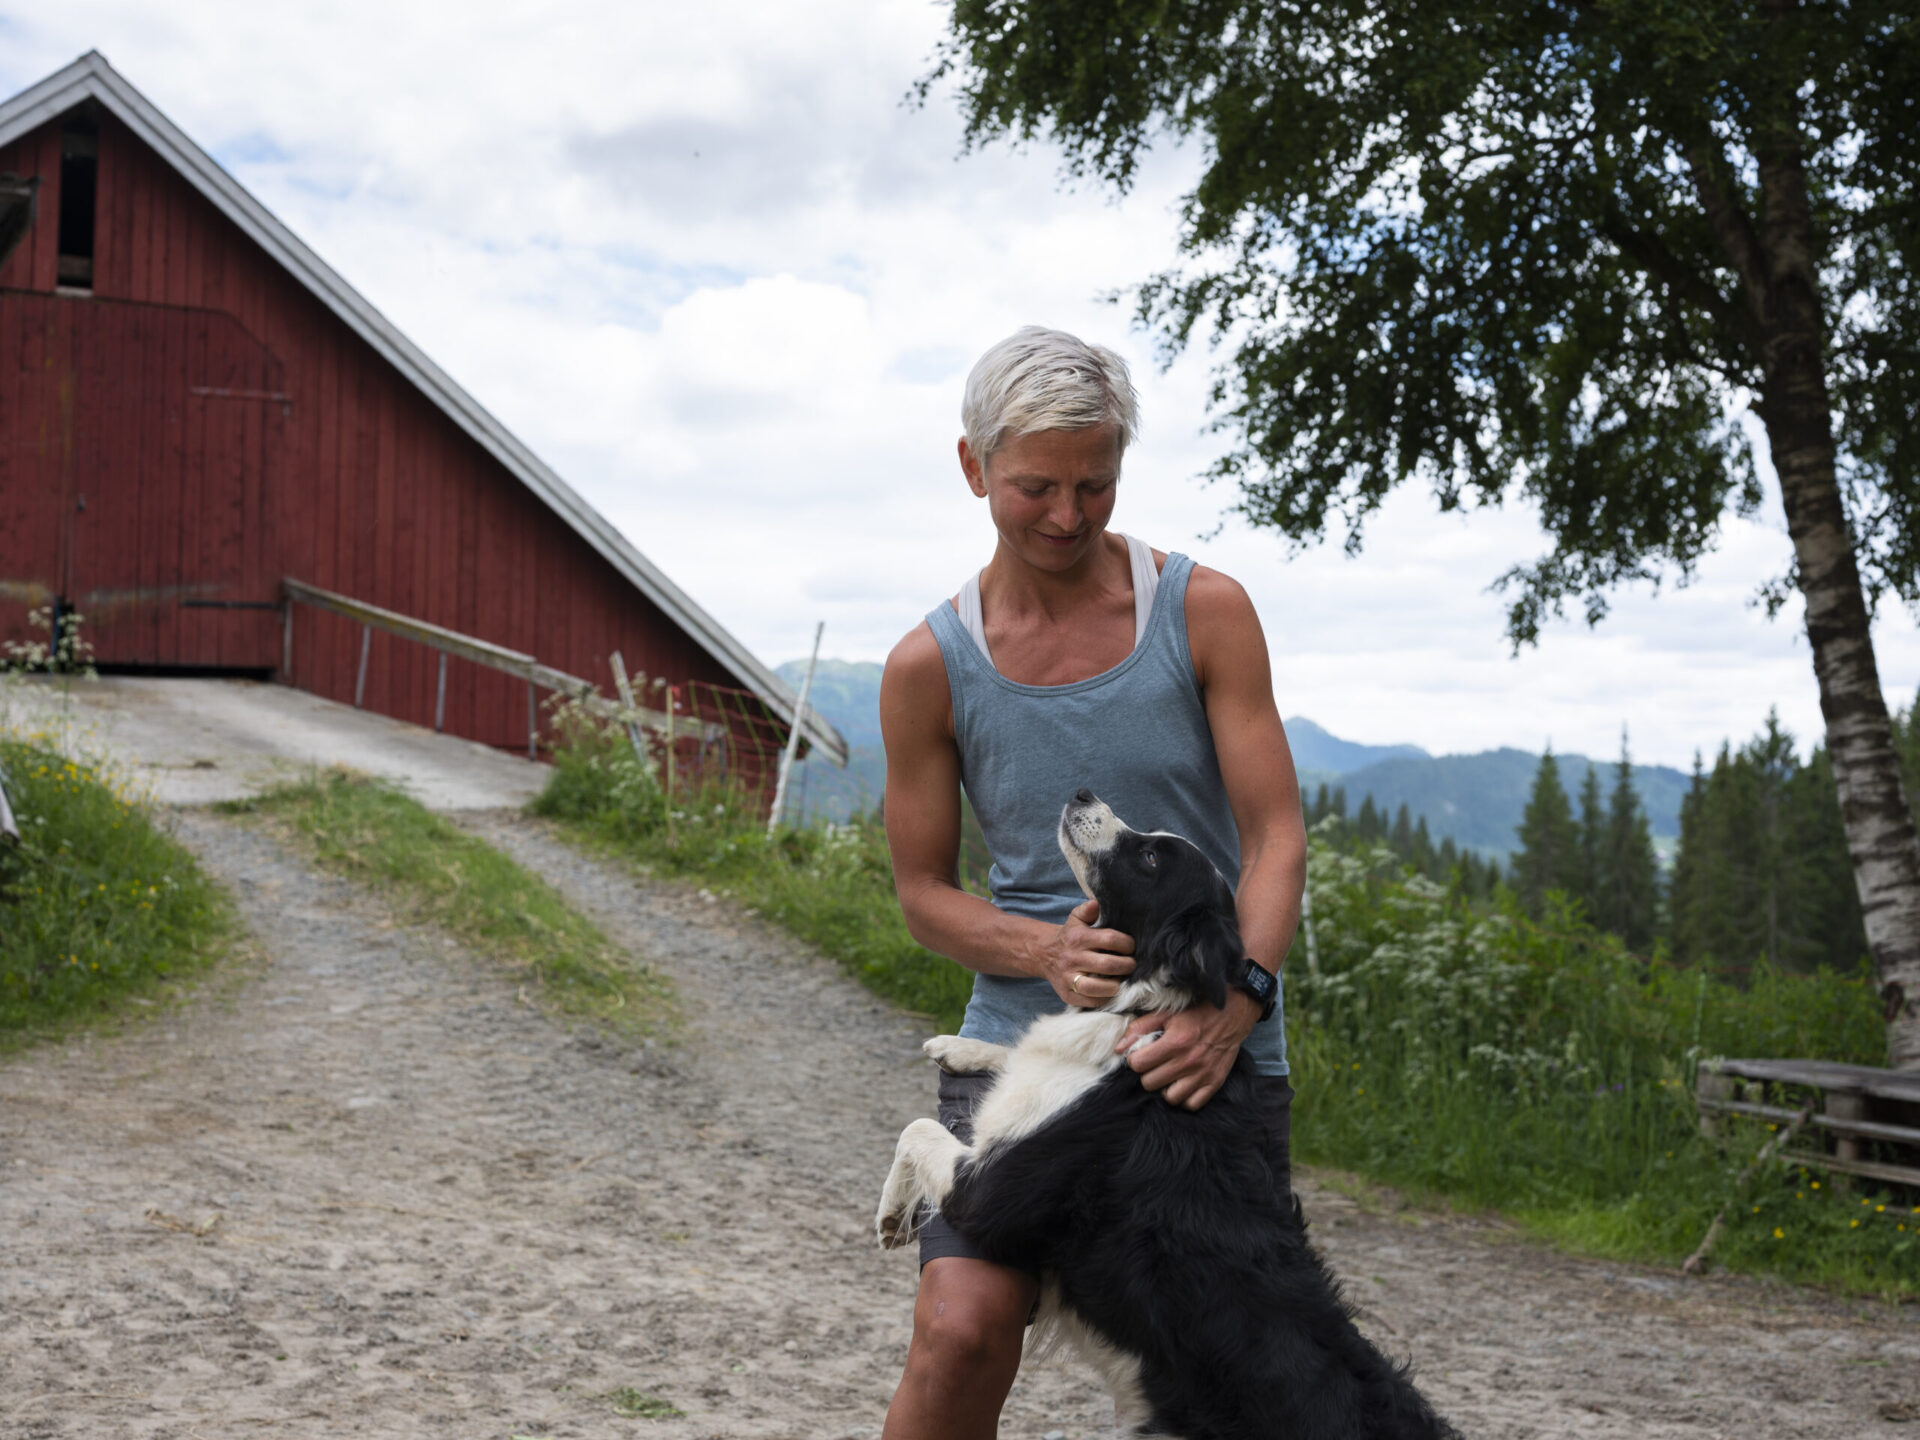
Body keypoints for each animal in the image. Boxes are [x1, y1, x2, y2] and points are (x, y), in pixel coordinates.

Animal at [875, 794, 1451, 1436]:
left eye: (1150, 858)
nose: (1083, 793)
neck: (1140, 998)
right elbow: (1014, 1055)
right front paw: (960, 1046)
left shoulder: (986, 1193)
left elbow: (919, 1129)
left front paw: (892, 1214)